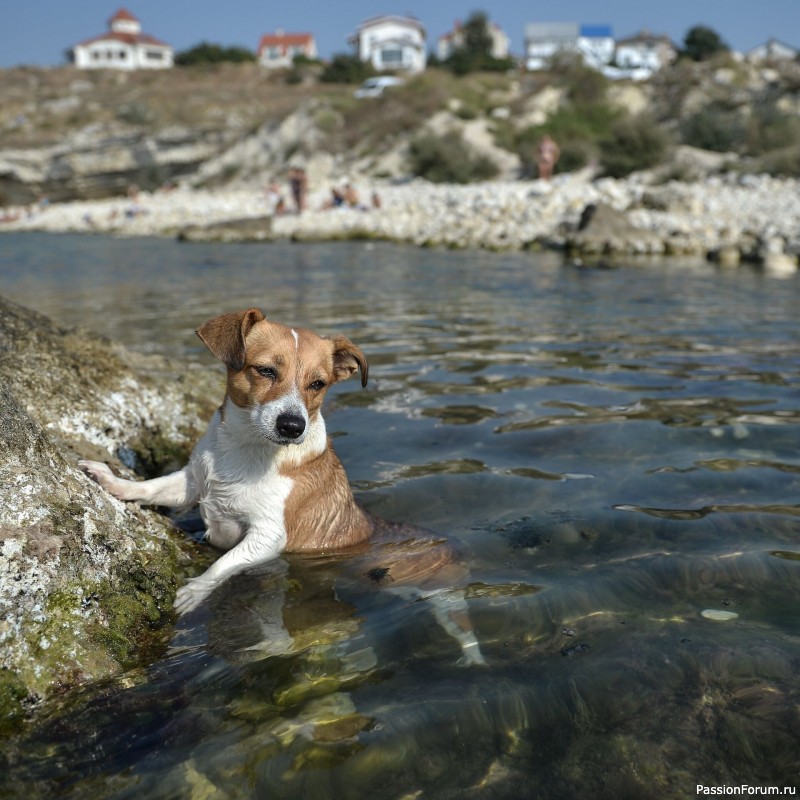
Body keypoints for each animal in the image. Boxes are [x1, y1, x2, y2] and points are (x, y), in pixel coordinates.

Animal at [79, 310, 488, 664]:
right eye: (265, 370)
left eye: (318, 384)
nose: (293, 426)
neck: (246, 451)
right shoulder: (192, 484)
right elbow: (151, 487)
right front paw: (112, 481)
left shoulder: (268, 537)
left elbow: (224, 565)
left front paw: (194, 592)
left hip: (444, 597)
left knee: (463, 628)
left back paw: (473, 659)